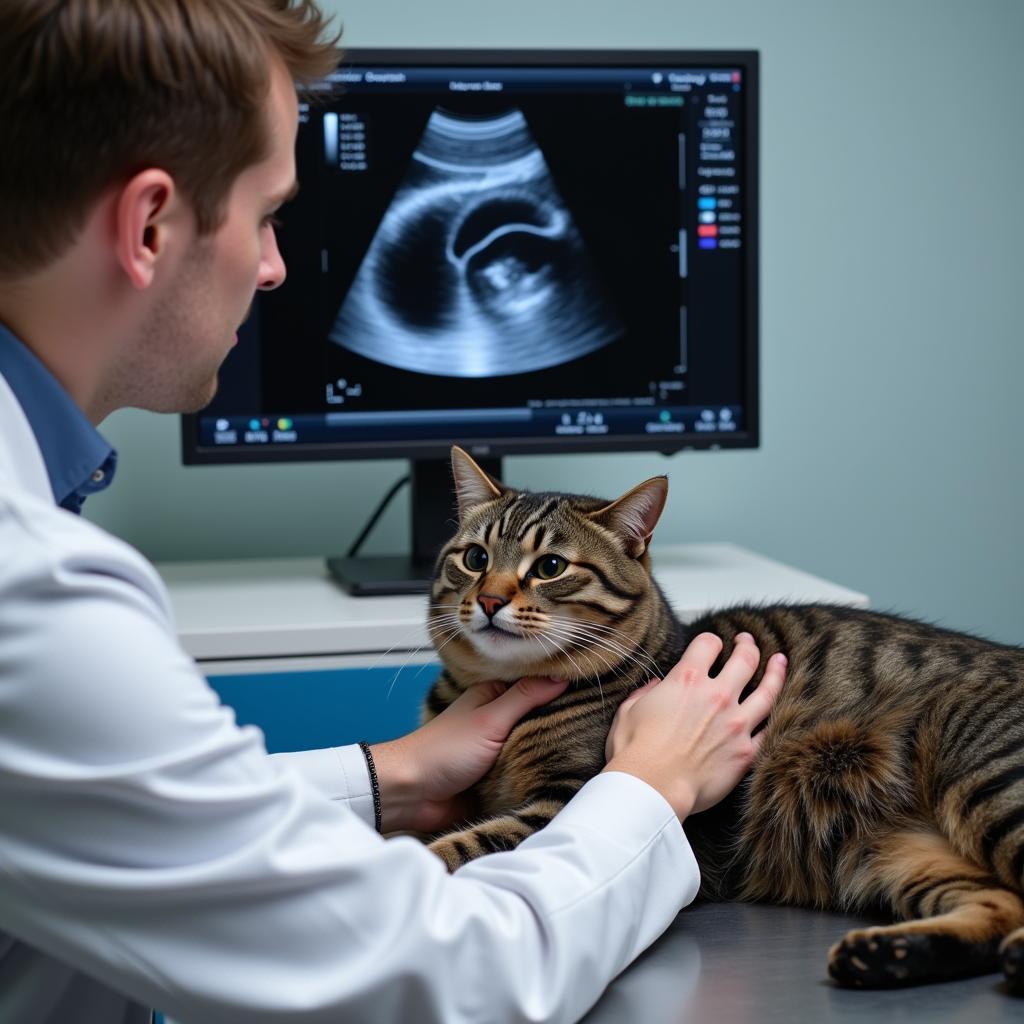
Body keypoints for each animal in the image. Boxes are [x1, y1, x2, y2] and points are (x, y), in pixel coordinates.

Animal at [423, 448, 1024, 991]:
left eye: (550, 567)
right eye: (475, 558)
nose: (490, 600)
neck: (502, 690)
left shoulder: (562, 802)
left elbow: (459, 847)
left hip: (983, 769)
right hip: (895, 854)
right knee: (1000, 905)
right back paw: (887, 956)